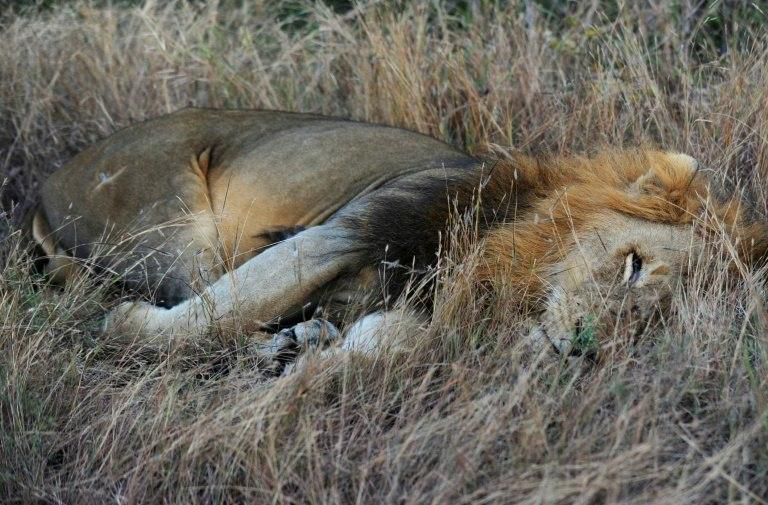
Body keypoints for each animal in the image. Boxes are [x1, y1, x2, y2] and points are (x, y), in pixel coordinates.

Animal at [31, 108, 768, 357]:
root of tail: (47, 184)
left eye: (661, 323)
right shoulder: (346, 229)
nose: (586, 350)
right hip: (172, 215)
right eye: (634, 265)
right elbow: (221, 310)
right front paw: (127, 326)